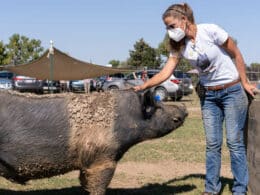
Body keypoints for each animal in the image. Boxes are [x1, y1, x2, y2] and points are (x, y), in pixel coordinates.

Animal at [0, 89, 187, 194]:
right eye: (158, 107)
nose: (184, 109)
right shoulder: (102, 158)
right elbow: (99, 186)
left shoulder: (87, 164)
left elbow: (85, 183)